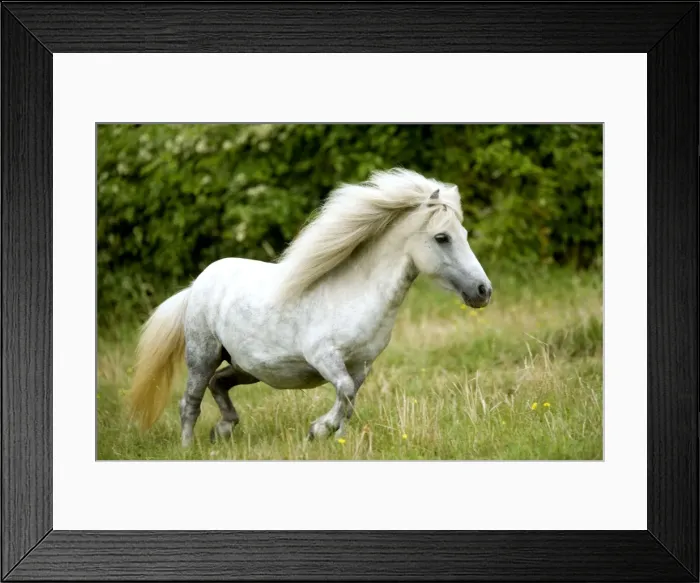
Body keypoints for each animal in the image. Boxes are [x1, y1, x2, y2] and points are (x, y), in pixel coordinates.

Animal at [127, 168, 492, 447]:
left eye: (464, 233)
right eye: (442, 237)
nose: (483, 291)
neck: (355, 295)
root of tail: (197, 285)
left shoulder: (362, 365)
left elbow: (349, 400)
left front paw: (337, 437)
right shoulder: (324, 356)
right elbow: (344, 391)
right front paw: (318, 430)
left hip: (248, 367)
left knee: (219, 384)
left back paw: (223, 430)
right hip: (202, 356)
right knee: (190, 402)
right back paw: (189, 447)